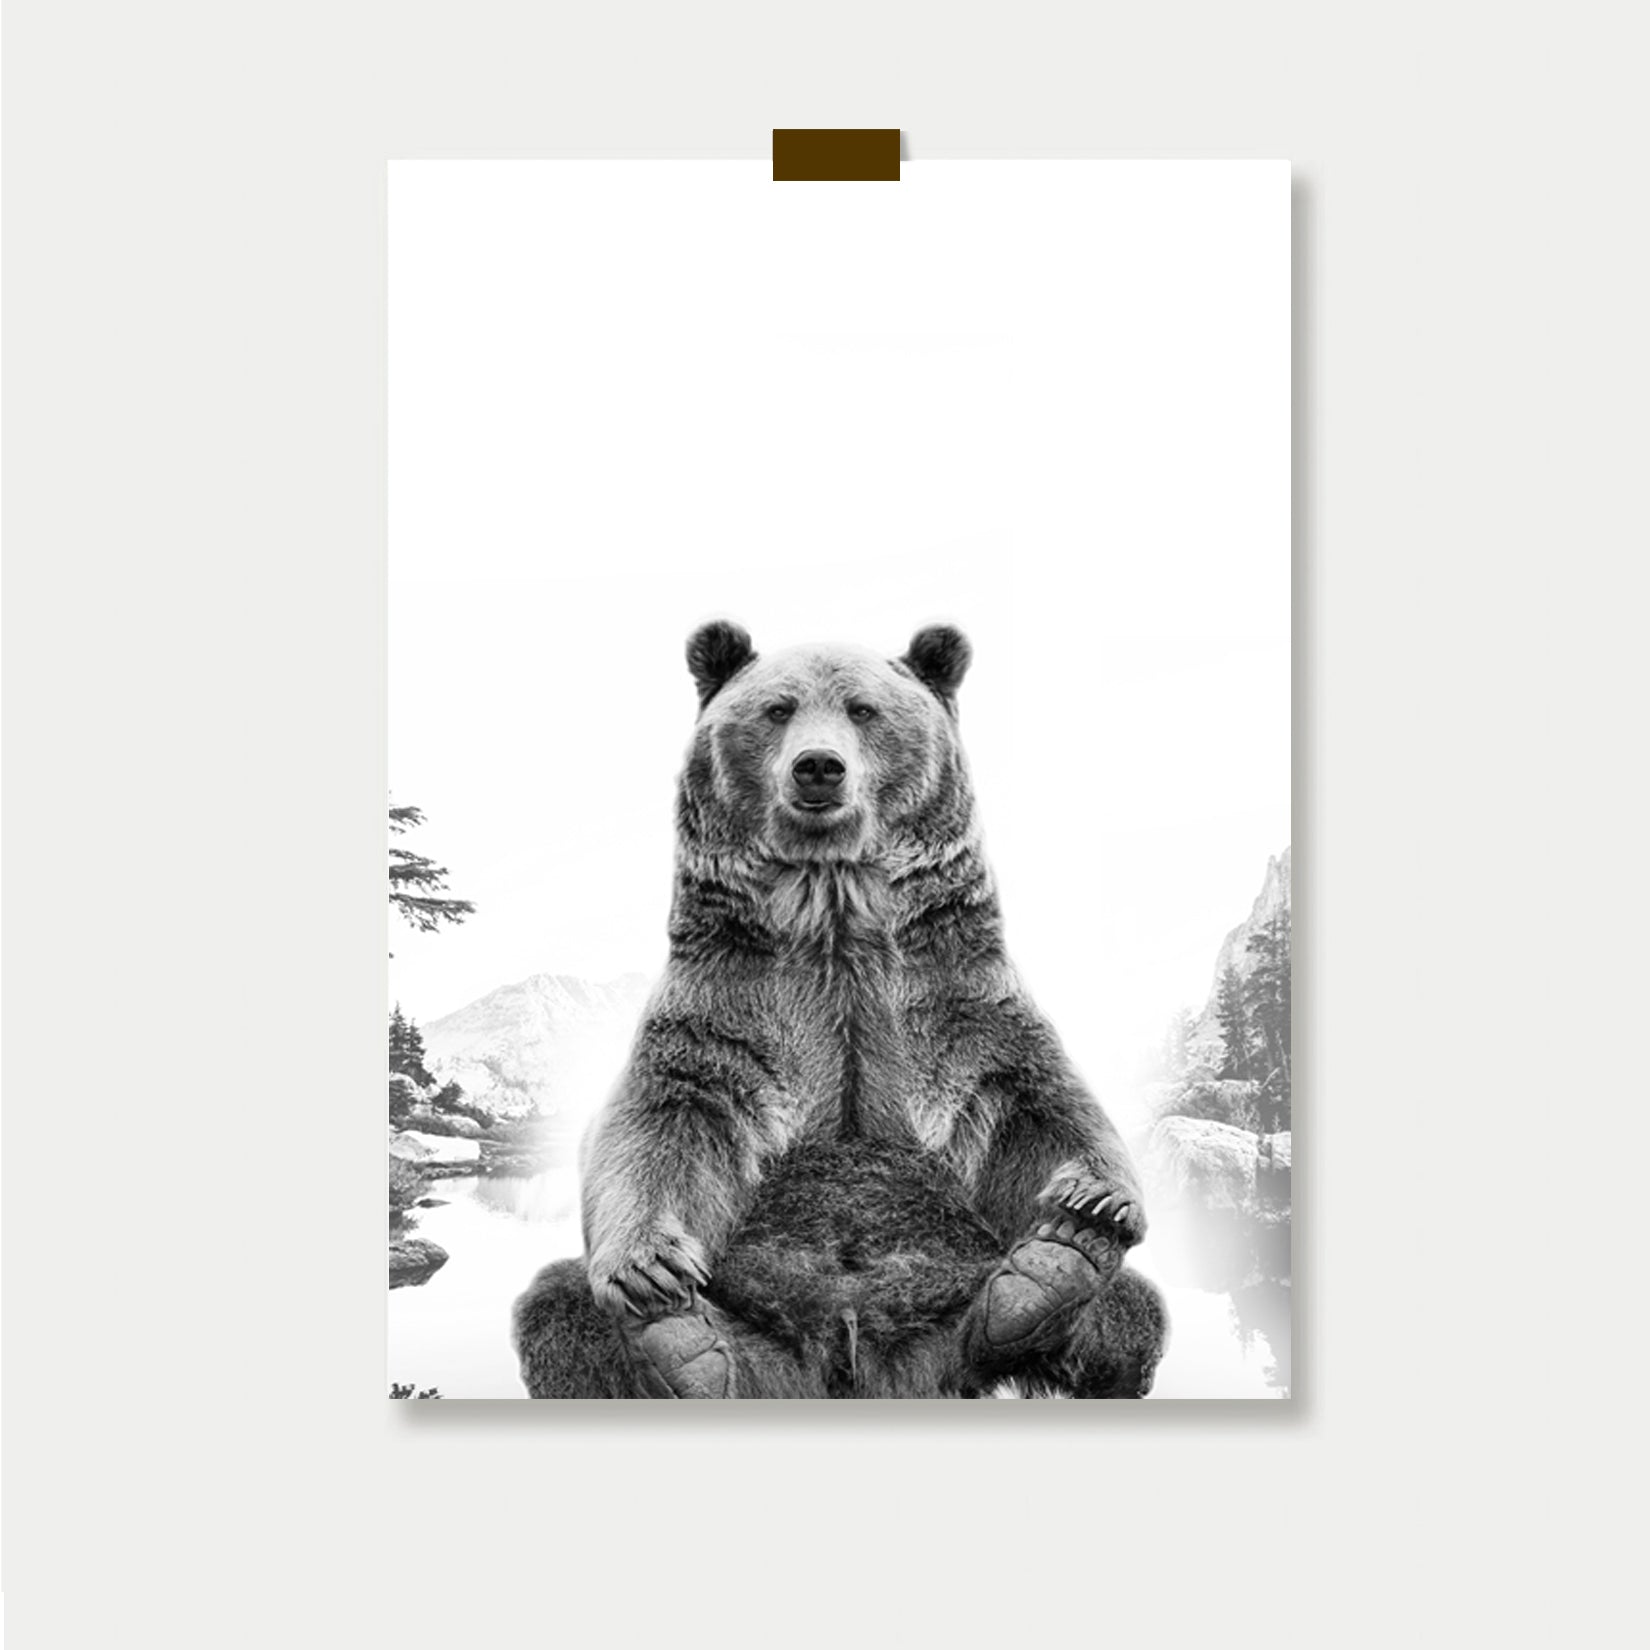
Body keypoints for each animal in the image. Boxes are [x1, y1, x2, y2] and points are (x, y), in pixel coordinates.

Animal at [513, 622, 1168, 1399]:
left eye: (863, 709)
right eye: (777, 709)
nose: (818, 767)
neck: (834, 909)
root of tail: (857, 1366)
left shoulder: (953, 1000)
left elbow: (1034, 1106)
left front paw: (1093, 1202)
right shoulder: (729, 1006)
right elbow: (663, 1120)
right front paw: (649, 1271)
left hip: (956, 1317)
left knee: (1129, 1311)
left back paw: (1048, 1272)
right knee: (558, 1308)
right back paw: (687, 1348)